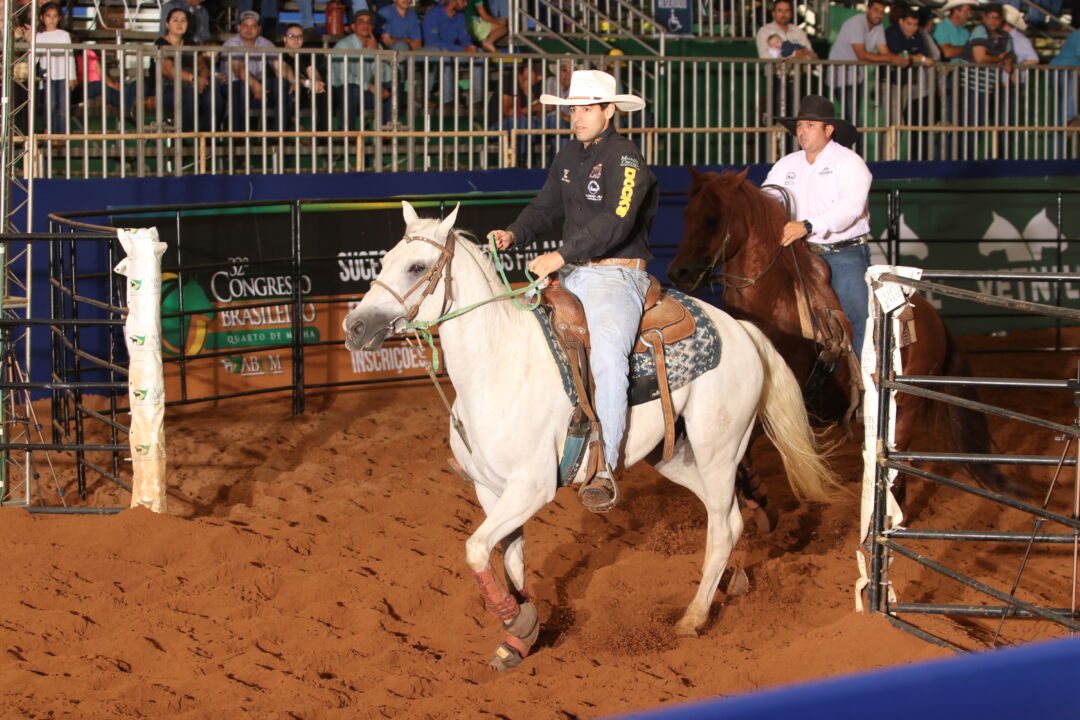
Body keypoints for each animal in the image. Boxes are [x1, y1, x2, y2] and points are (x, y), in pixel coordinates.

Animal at [341, 201, 838, 669]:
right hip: (675, 456)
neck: (496, 365)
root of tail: (742, 331)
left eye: (417, 267)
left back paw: (693, 617)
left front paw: (518, 623)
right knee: (729, 520)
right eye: (383, 260)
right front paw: (520, 636)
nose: (355, 327)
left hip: (718, 450)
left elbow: (476, 550)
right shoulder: (490, 489)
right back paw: (731, 581)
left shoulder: (532, 487)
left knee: (720, 528)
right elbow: (510, 559)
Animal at [669, 166, 1015, 498]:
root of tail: (934, 317)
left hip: (904, 408)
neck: (774, 302)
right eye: (686, 214)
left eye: (714, 219)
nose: (678, 273)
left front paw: (756, 493)